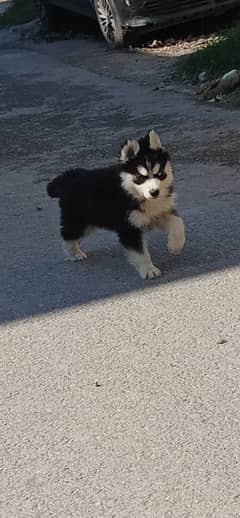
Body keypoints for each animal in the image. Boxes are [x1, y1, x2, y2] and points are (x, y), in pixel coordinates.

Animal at [47, 130, 186, 280]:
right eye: (140, 178)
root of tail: (67, 176)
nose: (154, 192)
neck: (134, 193)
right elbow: (141, 253)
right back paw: (75, 253)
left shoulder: (160, 212)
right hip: (79, 221)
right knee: (67, 236)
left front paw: (175, 246)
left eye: (160, 174)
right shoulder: (128, 227)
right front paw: (149, 269)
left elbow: (178, 223)